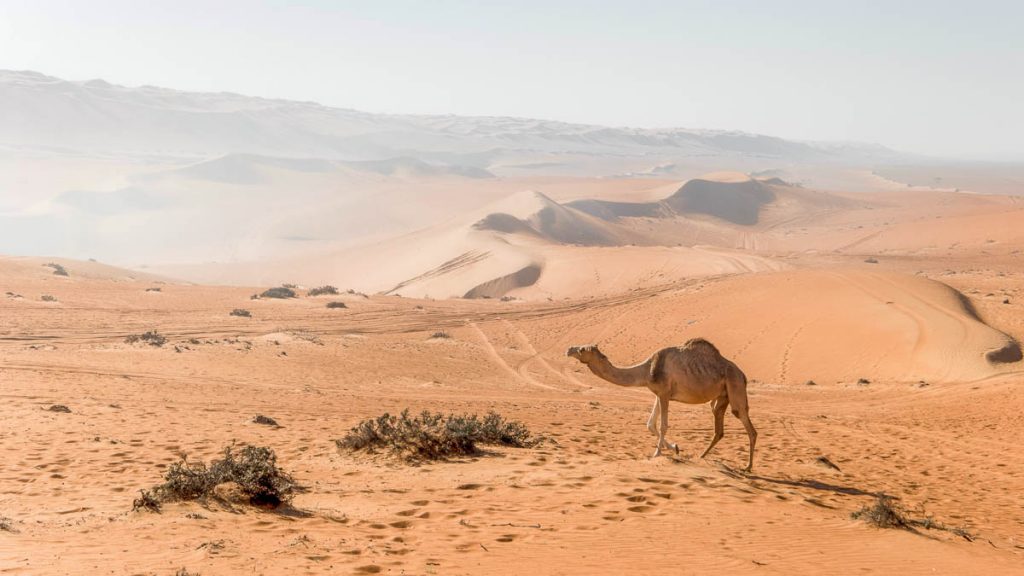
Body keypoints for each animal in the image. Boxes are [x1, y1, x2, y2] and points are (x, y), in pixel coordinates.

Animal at [565, 338, 757, 469]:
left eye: (581, 349)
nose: (568, 349)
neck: (647, 370)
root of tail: (743, 375)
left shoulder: (664, 393)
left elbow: (663, 425)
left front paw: (657, 453)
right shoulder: (659, 394)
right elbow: (650, 424)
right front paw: (675, 448)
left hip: (735, 386)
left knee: (747, 424)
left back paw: (748, 467)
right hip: (722, 397)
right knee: (719, 427)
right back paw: (702, 456)